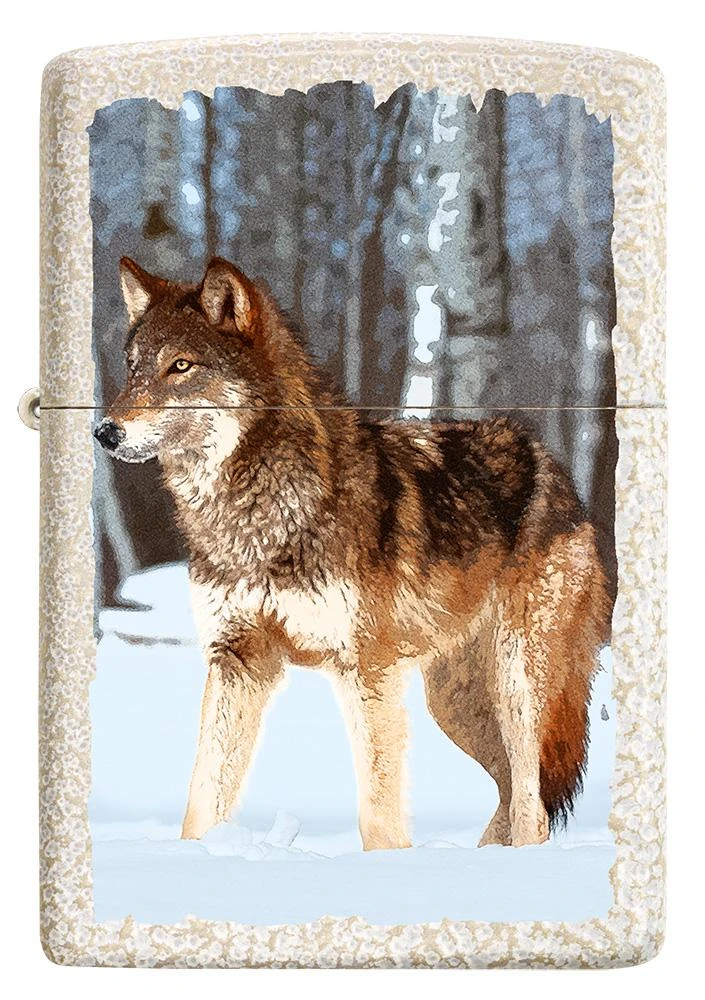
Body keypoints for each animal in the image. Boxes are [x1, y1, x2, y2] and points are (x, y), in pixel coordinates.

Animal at [94, 256, 612, 850]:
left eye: (180, 366)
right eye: (132, 368)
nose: (104, 432)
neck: (262, 515)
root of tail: (555, 469)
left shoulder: (366, 670)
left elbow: (378, 813)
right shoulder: (237, 660)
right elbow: (202, 796)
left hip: (518, 686)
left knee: (532, 802)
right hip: (454, 705)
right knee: (512, 791)